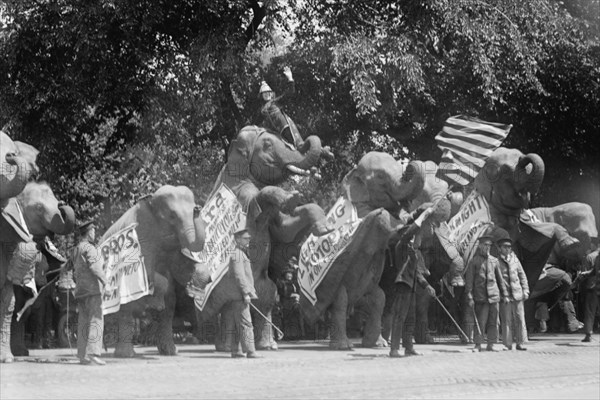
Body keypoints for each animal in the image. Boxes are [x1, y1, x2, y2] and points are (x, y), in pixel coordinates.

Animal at [101, 184, 209, 356]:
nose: (197, 209)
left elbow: (181, 265)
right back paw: (126, 354)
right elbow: (146, 269)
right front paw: (154, 303)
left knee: (169, 308)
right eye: (172, 216)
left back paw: (170, 351)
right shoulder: (140, 234)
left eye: (193, 208)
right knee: (126, 311)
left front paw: (195, 290)